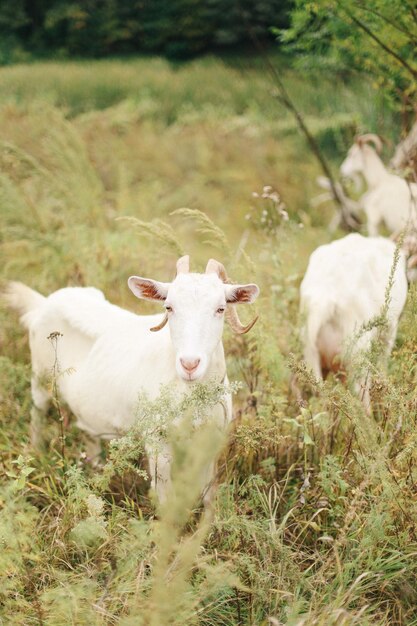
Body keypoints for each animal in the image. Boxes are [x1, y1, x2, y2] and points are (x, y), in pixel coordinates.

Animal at [6, 256, 258, 500]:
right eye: (169, 307)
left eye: (221, 309)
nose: (189, 364)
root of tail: (44, 303)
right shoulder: (157, 441)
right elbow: (165, 496)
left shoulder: (211, 441)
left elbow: (208, 493)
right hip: (40, 377)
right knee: (38, 414)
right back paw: (36, 453)